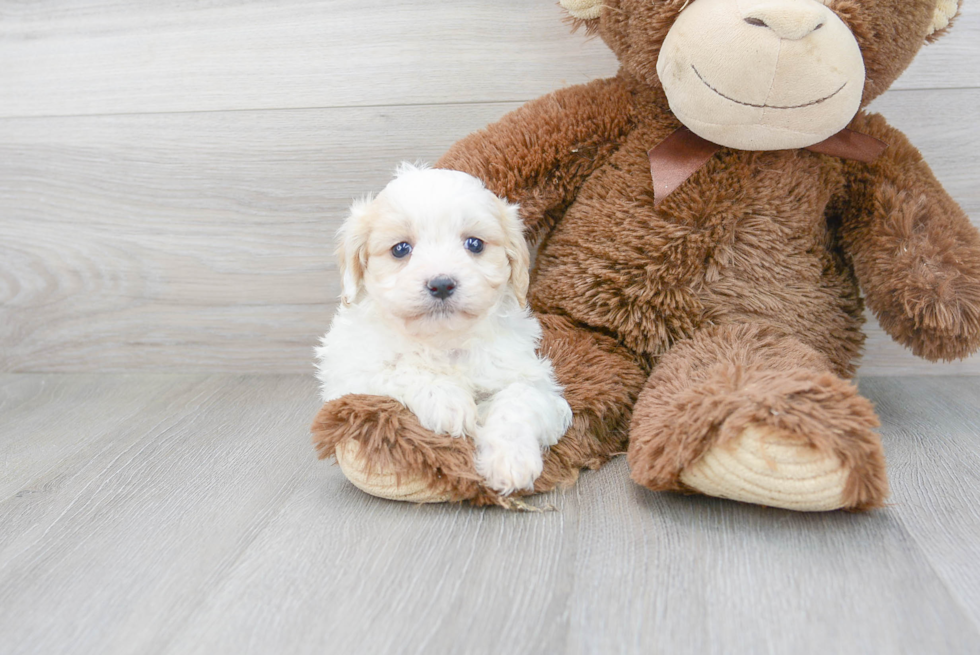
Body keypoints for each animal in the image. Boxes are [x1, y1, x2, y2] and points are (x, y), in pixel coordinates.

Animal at [318, 165, 572, 498]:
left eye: (474, 244)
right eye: (401, 249)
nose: (441, 284)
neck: (442, 339)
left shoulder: (531, 379)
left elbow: (518, 400)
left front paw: (511, 461)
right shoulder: (350, 375)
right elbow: (401, 369)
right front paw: (448, 401)